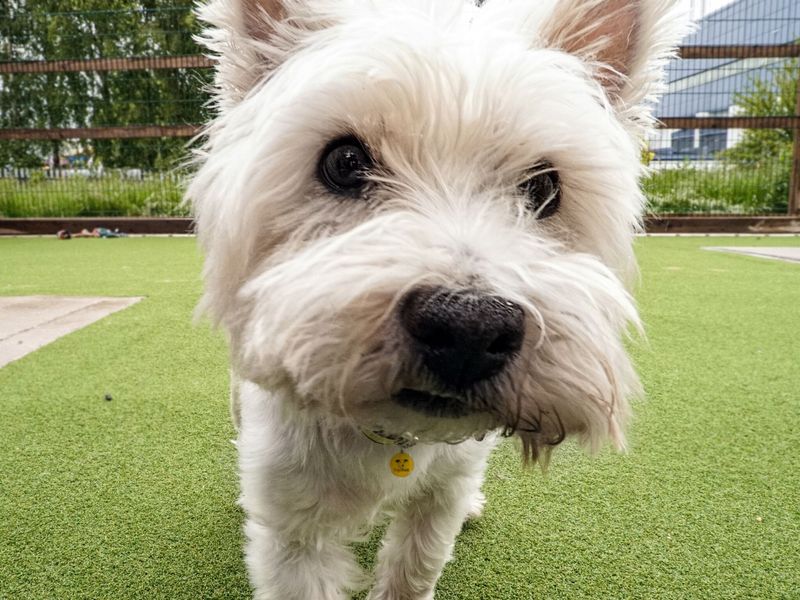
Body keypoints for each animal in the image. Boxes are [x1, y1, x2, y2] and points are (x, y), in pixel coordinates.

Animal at [189, 2, 688, 596]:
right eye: (343, 162)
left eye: (544, 188)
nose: (469, 329)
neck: (392, 434)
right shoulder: (293, 528)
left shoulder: (441, 494)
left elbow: (416, 563)